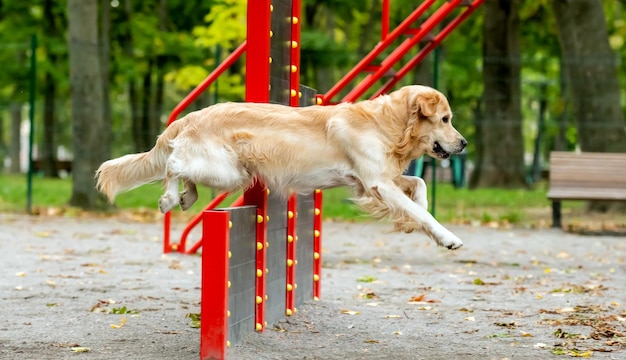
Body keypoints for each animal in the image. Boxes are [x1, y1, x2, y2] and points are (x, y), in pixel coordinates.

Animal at [97, 84, 466, 249]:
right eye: (445, 119)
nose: (463, 144)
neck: (388, 125)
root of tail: (191, 117)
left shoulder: (374, 181)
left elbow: (419, 185)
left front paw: (420, 214)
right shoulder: (377, 182)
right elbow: (419, 209)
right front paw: (446, 236)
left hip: (227, 171)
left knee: (184, 169)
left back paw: (186, 197)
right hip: (228, 171)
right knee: (174, 163)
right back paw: (170, 199)